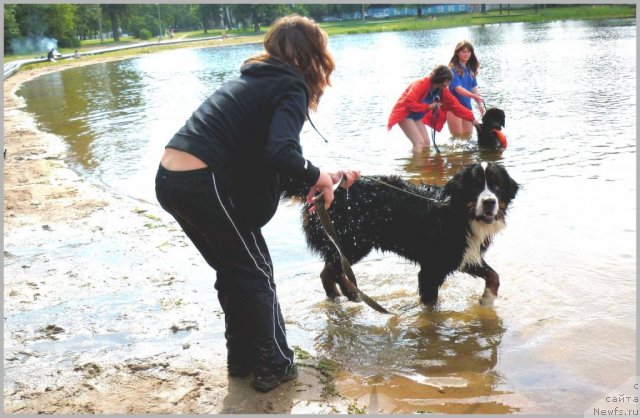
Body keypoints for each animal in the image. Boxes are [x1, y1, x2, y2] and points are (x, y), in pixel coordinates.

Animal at [282, 163, 520, 306]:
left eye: (497, 185)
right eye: (475, 186)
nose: (489, 202)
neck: (458, 213)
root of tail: (326, 190)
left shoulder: (462, 255)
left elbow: (493, 275)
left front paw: (487, 299)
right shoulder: (433, 267)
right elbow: (431, 304)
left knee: (332, 270)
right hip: (353, 242)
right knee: (331, 271)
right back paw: (348, 293)